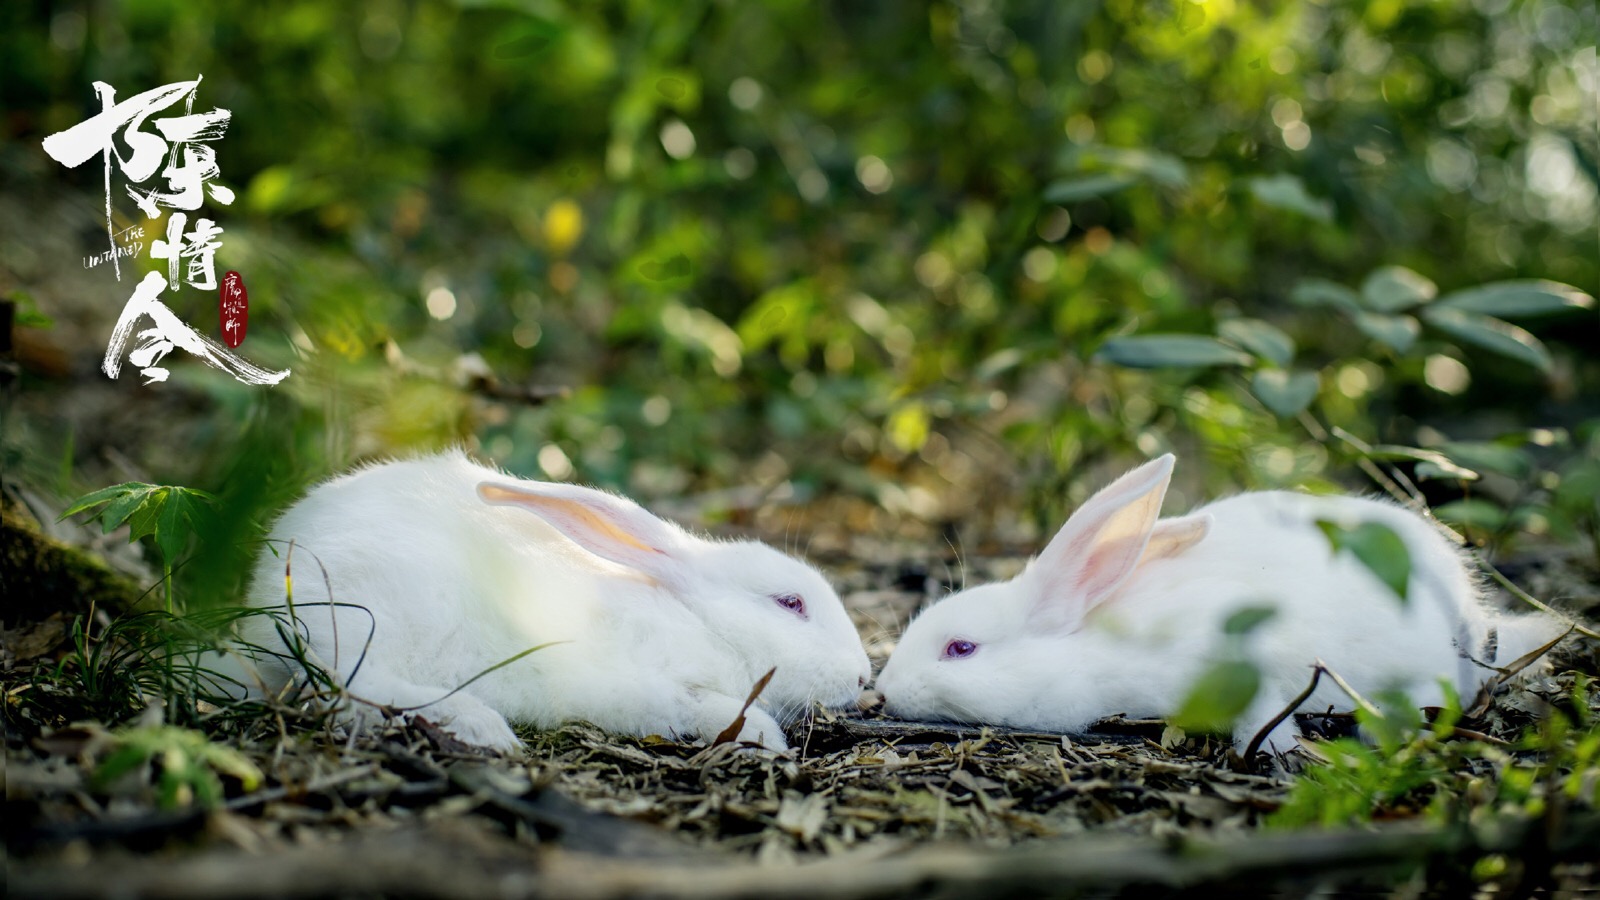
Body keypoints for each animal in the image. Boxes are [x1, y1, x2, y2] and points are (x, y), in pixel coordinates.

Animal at [236, 448, 870, 749]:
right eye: (790, 603)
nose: (864, 677)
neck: (702, 623)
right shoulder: (639, 684)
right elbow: (705, 705)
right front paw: (766, 738)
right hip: (372, 620)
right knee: (347, 687)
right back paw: (480, 728)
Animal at [870, 451, 1568, 752]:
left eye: (961, 649)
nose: (885, 690)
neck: (1094, 646)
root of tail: (1477, 619)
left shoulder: (1247, 662)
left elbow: (1263, 709)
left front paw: (1275, 749)